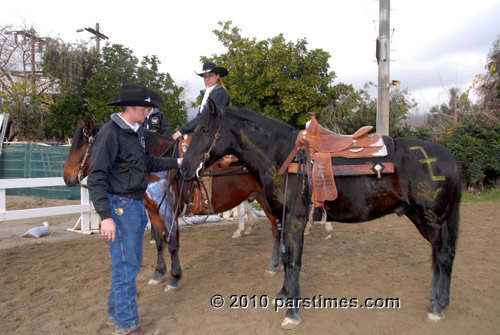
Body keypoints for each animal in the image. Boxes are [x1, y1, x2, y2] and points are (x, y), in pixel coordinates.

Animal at [62, 120, 280, 292]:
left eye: (83, 145)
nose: (66, 177)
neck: (158, 164)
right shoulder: (153, 212)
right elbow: (160, 242)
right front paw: (158, 274)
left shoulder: (168, 211)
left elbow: (173, 243)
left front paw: (174, 279)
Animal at [179, 101, 460, 330]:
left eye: (204, 130)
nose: (184, 169)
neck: (280, 156)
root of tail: (450, 158)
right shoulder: (284, 219)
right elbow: (286, 256)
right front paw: (284, 293)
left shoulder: (295, 219)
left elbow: (294, 261)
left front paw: (292, 313)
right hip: (424, 218)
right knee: (443, 256)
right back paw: (441, 300)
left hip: (432, 219)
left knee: (443, 256)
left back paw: (436, 308)